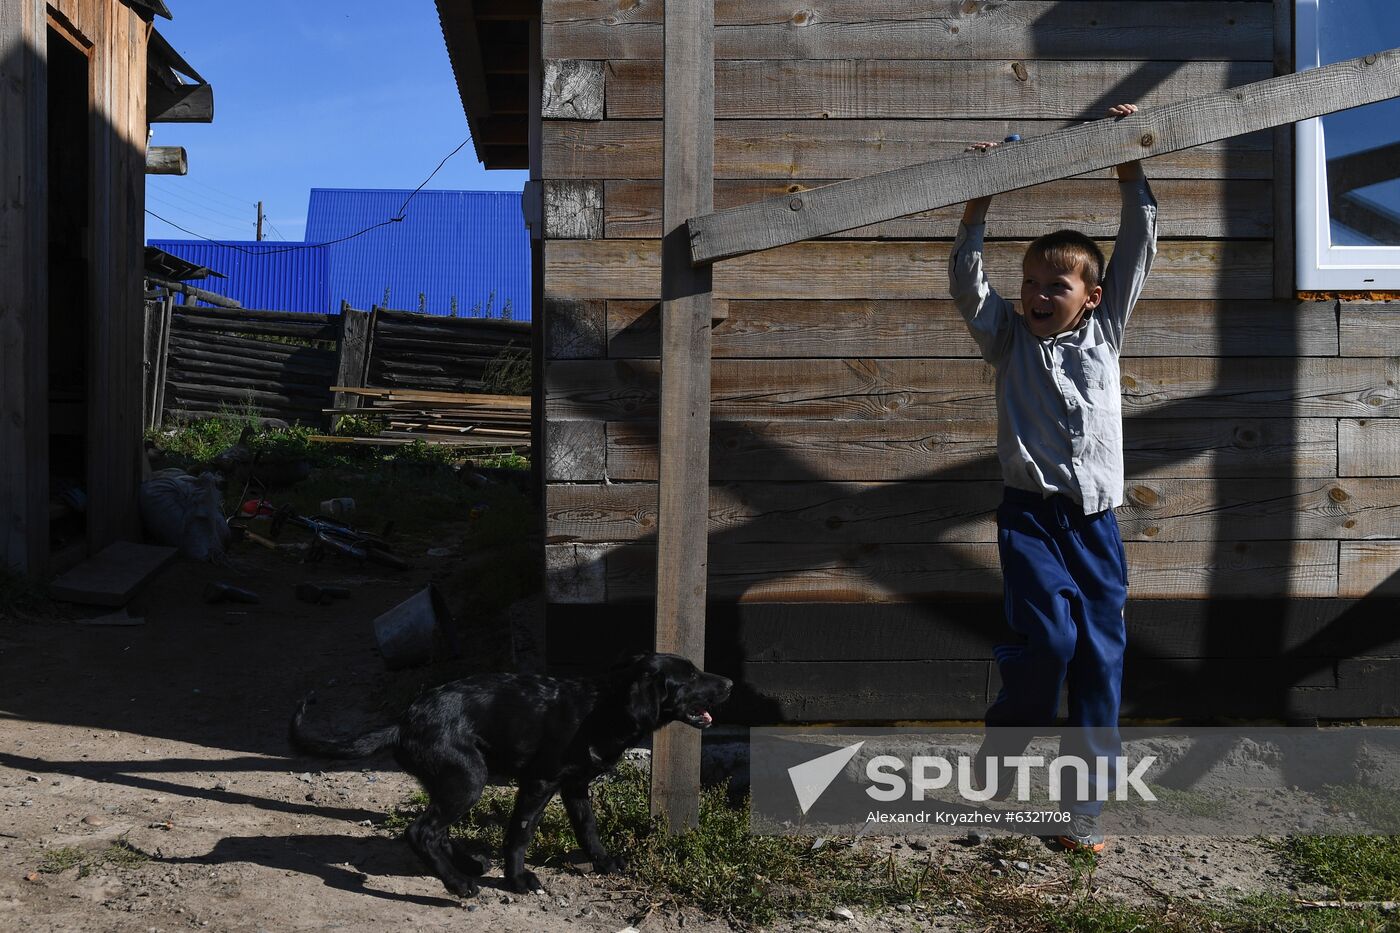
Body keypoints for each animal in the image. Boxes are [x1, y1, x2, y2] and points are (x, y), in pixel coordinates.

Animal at [291, 647, 739, 896]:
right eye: (691, 676)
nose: (732, 683)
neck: (604, 709)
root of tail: (402, 723)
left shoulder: (576, 786)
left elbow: (588, 829)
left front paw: (603, 862)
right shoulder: (538, 782)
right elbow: (519, 833)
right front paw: (518, 880)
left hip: (452, 781)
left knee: (437, 830)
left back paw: (469, 864)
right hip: (468, 778)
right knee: (421, 831)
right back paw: (458, 883)